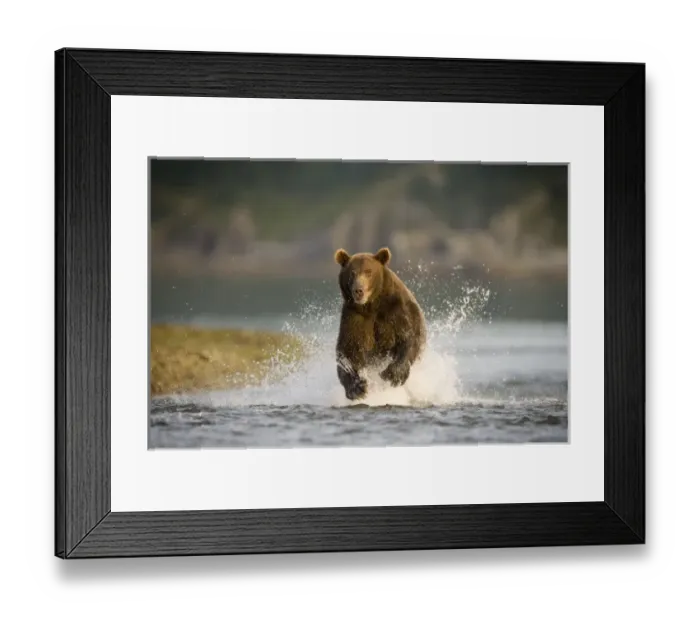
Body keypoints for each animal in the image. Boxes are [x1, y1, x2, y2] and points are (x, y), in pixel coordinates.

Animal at [333, 246, 427, 401]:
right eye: (352, 273)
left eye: (368, 272)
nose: (358, 290)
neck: (372, 305)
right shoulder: (354, 317)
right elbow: (349, 349)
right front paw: (357, 387)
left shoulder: (397, 311)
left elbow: (409, 337)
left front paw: (392, 375)